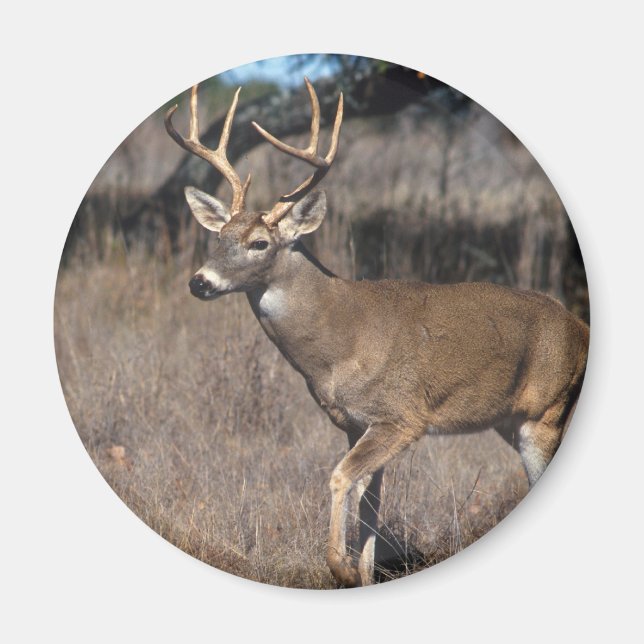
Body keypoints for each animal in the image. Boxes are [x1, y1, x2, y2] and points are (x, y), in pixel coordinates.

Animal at [164, 78, 589, 588]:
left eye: (259, 243)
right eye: (219, 237)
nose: (199, 282)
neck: (338, 345)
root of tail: (582, 329)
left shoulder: (402, 415)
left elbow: (341, 478)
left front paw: (341, 568)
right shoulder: (355, 423)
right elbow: (370, 499)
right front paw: (363, 573)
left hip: (547, 412)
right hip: (512, 421)